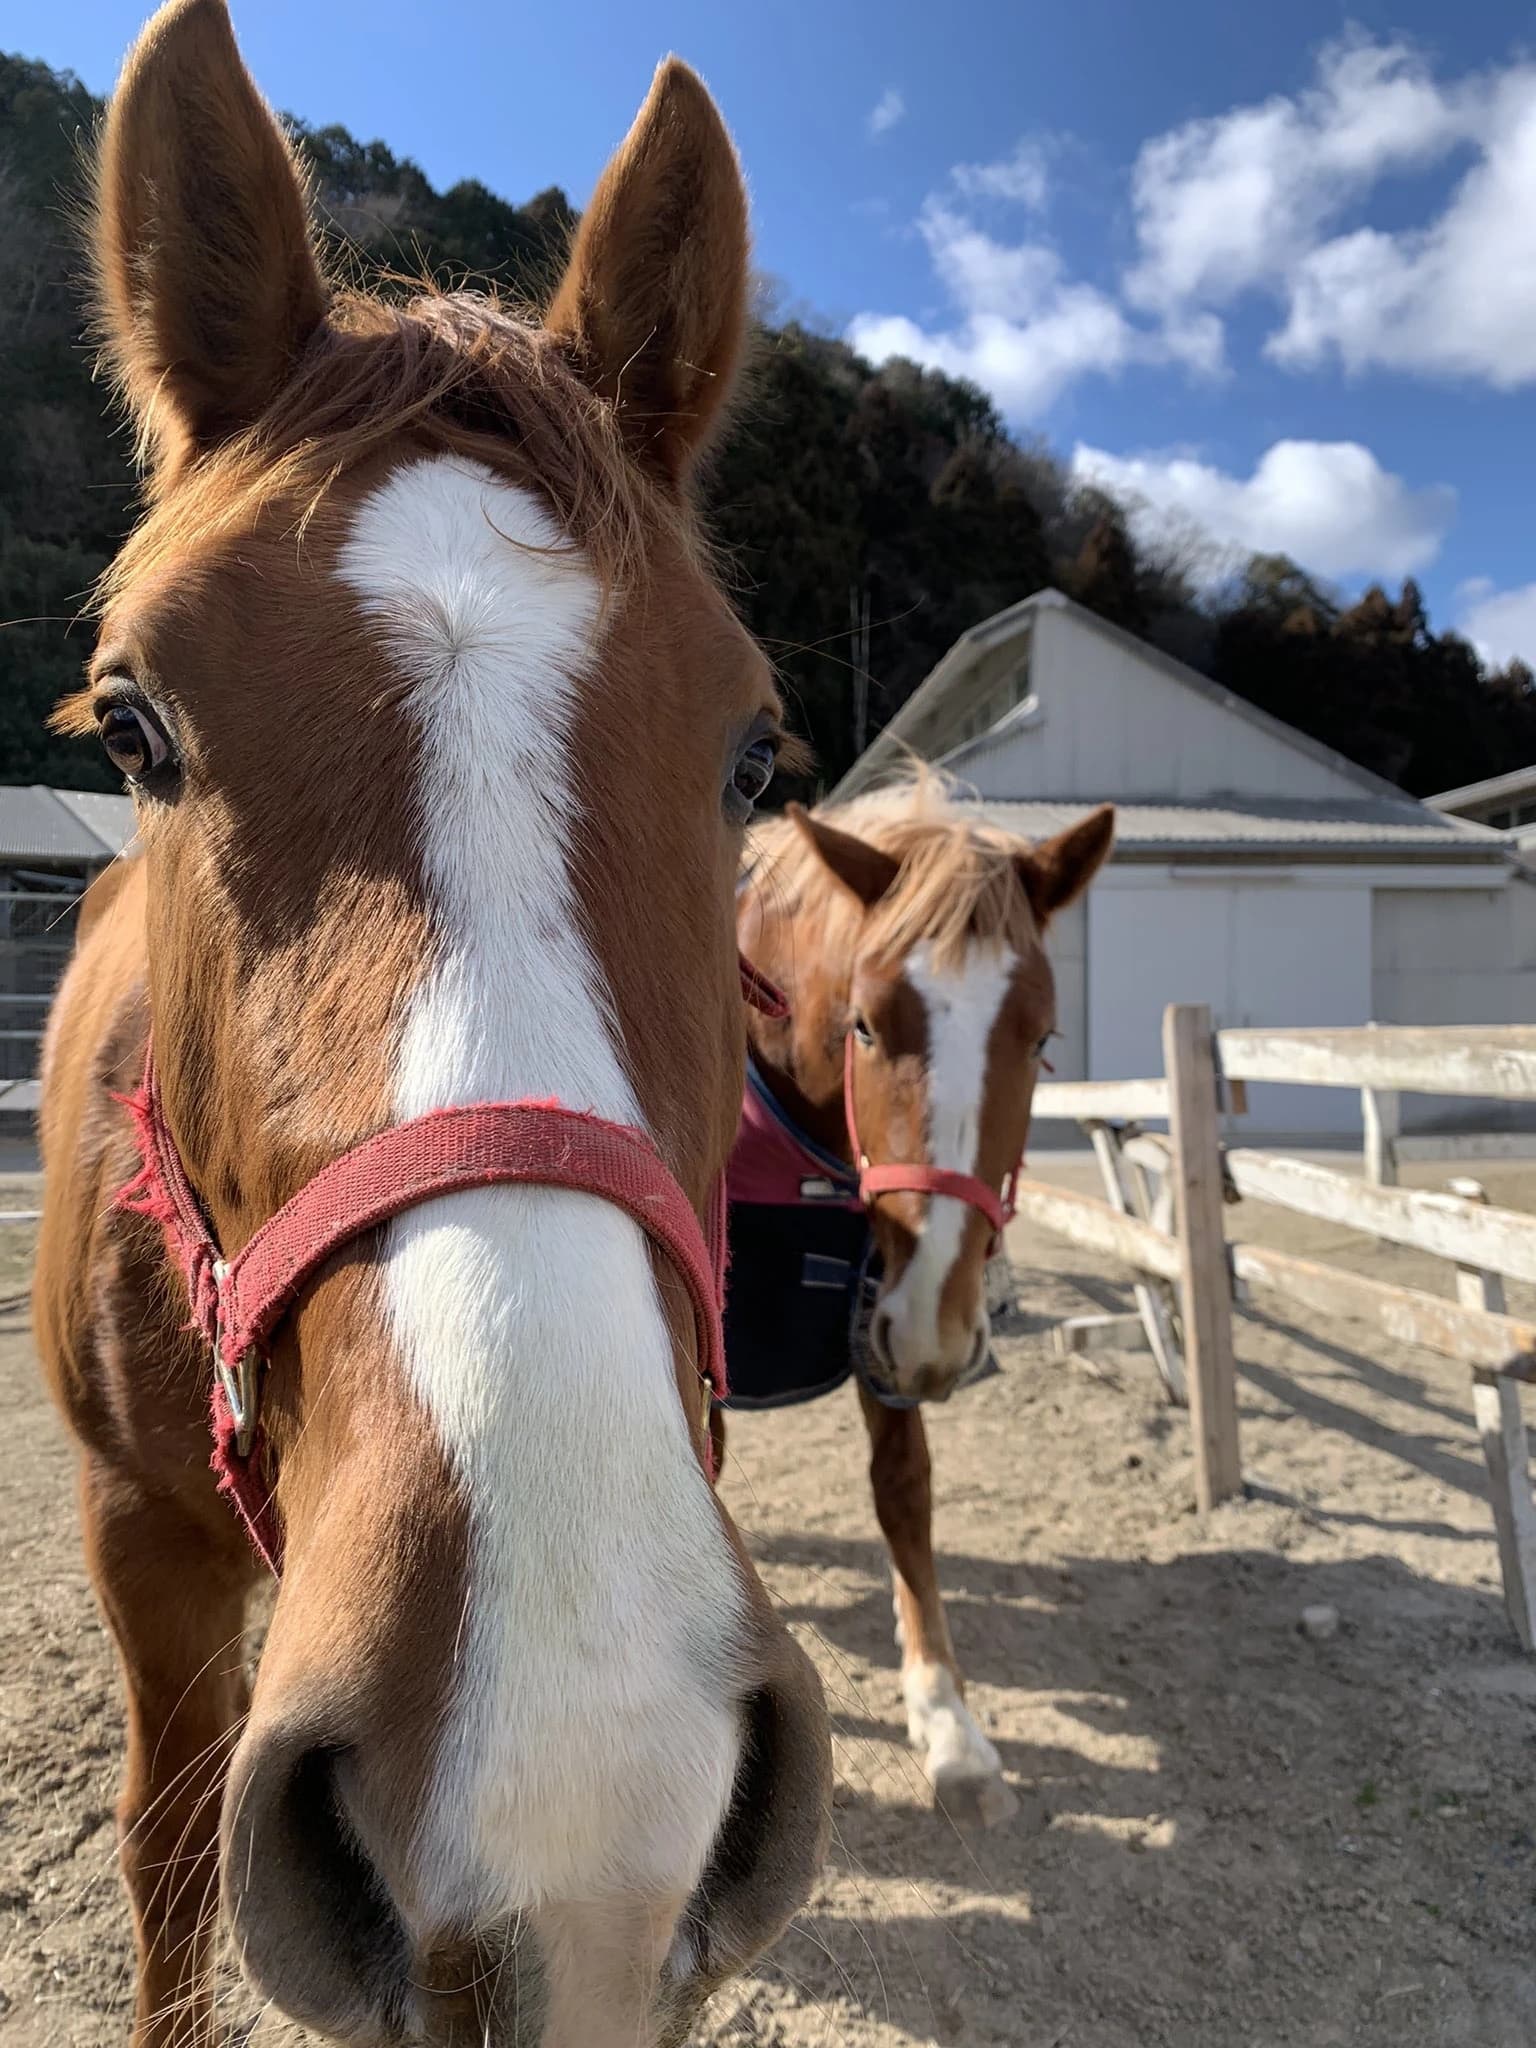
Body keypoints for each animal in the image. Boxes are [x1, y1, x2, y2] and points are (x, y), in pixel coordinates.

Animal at [720, 778, 1114, 1827]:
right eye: (863, 1023)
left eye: (1044, 1036)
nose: (945, 1324)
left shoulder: (887, 1314)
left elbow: (904, 1492)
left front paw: (948, 1719)